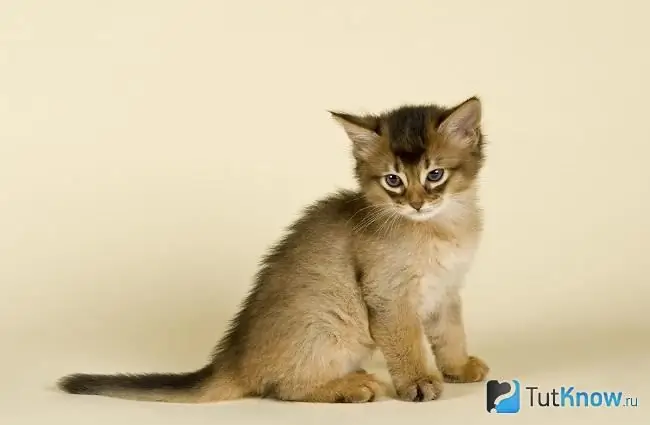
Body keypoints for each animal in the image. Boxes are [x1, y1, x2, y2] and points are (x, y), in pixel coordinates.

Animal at [59, 95, 486, 400]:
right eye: (393, 180)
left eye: (435, 175)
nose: (416, 203)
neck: (439, 229)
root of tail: (232, 361)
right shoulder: (390, 296)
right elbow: (407, 344)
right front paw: (419, 383)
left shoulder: (447, 291)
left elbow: (450, 335)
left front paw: (459, 368)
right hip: (330, 324)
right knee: (283, 388)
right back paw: (351, 386)